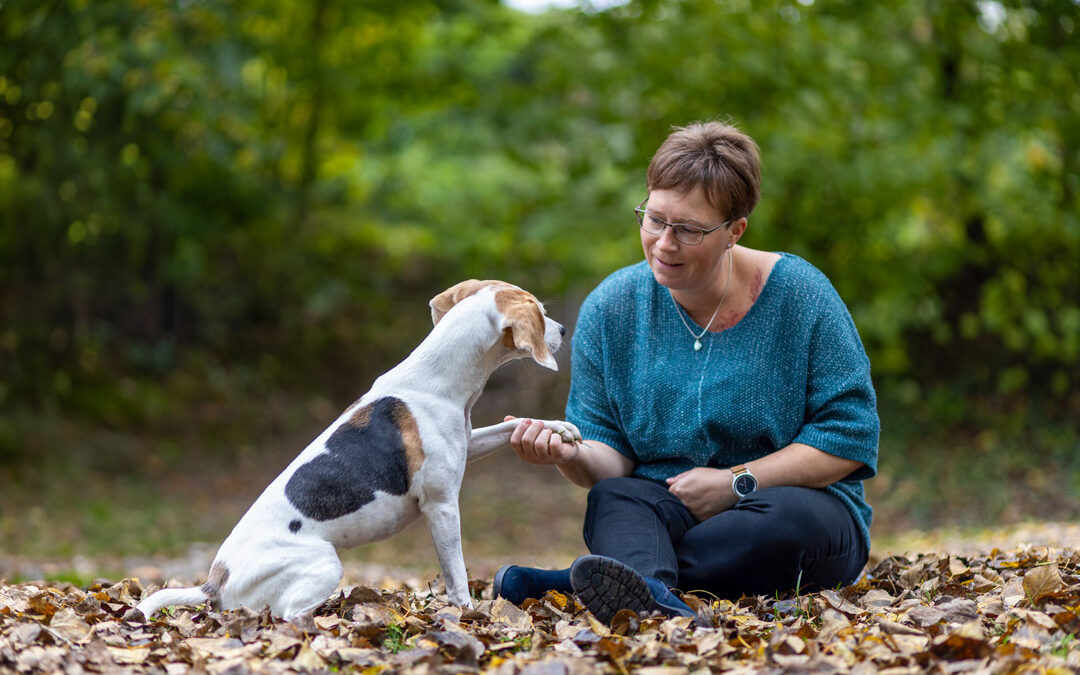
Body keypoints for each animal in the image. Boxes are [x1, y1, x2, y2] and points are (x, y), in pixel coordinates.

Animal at [137, 280, 583, 622]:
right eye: (541, 313)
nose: (564, 330)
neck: (438, 379)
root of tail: (216, 581)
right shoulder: (441, 506)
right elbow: (456, 574)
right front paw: (467, 614)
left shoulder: (469, 444)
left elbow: (513, 425)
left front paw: (559, 429)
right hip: (324, 562)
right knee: (286, 616)